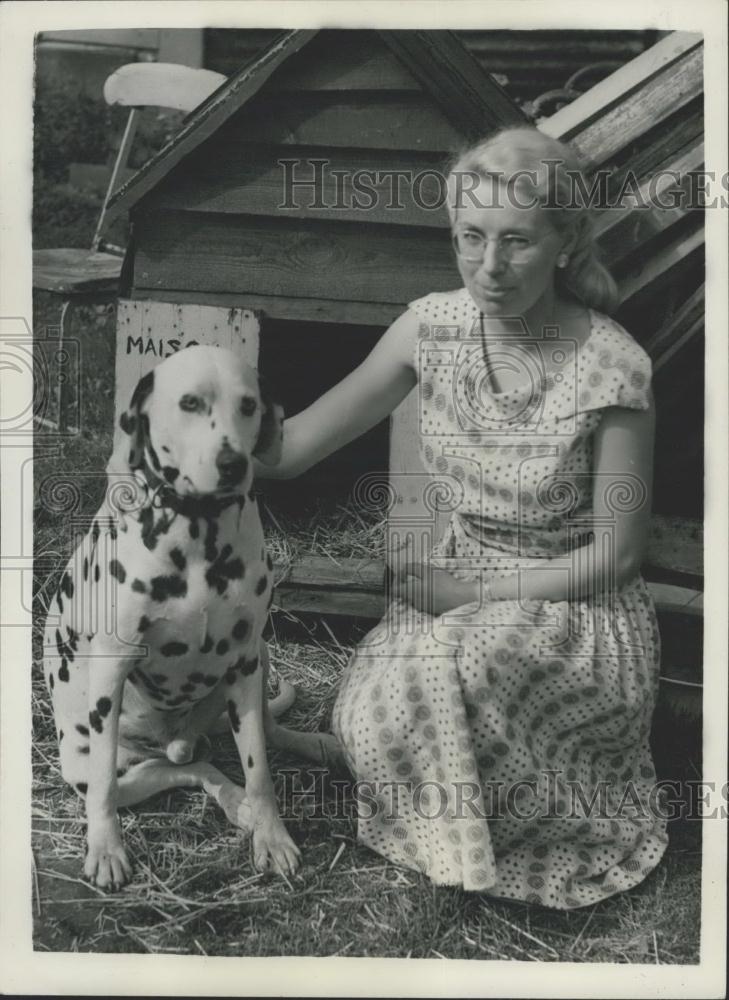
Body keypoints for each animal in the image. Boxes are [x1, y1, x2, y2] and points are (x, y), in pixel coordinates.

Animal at [43, 346, 344, 892]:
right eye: (188, 403)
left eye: (248, 405)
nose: (232, 464)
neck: (199, 532)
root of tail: (177, 740)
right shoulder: (111, 668)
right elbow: (102, 789)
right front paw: (106, 848)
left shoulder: (244, 664)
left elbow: (260, 768)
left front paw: (272, 836)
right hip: (104, 763)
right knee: (184, 770)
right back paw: (225, 796)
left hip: (262, 655)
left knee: (257, 738)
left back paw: (299, 757)